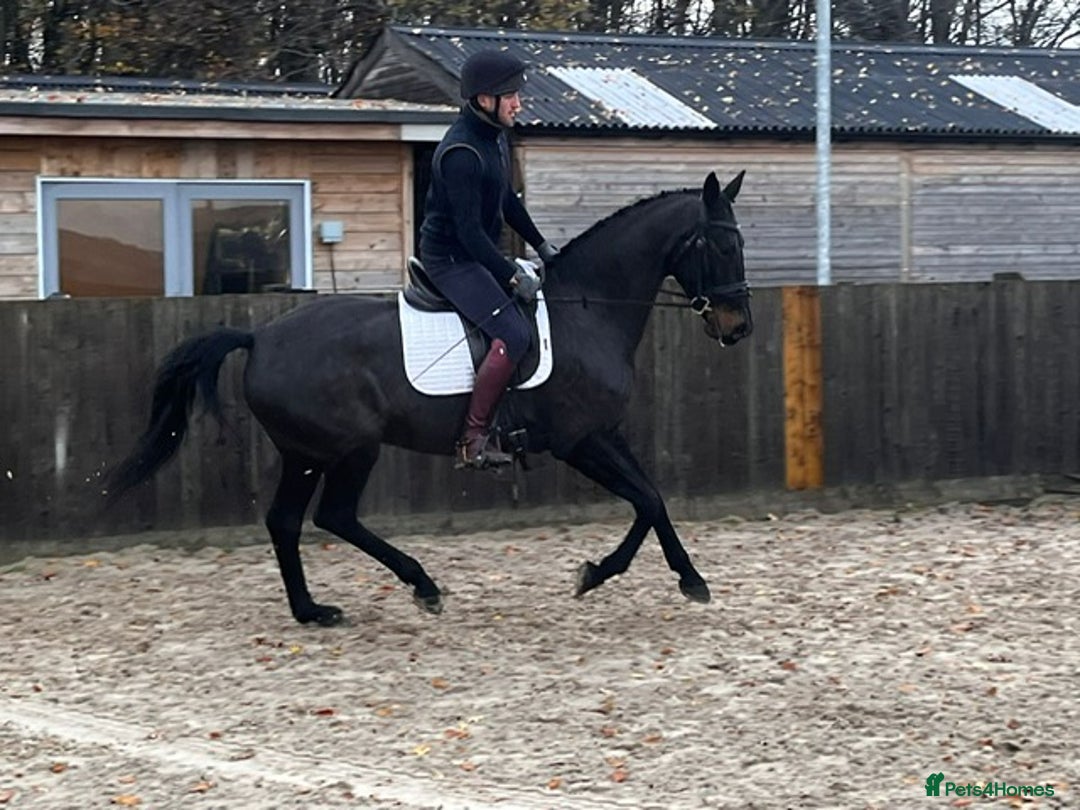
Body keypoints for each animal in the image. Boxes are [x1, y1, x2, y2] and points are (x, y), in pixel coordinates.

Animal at [106, 171, 753, 626]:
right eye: (720, 246)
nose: (737, 327)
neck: (588, 309)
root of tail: (259, 336)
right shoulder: (579, 441)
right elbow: (643, 500)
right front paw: (598, 574)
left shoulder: (605, 434)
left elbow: (654, 499)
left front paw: (687, 578)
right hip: (346, 448)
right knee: (330, 516)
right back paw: (418, 586)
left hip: (308, 453)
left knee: (288, 520)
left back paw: (314, 611)